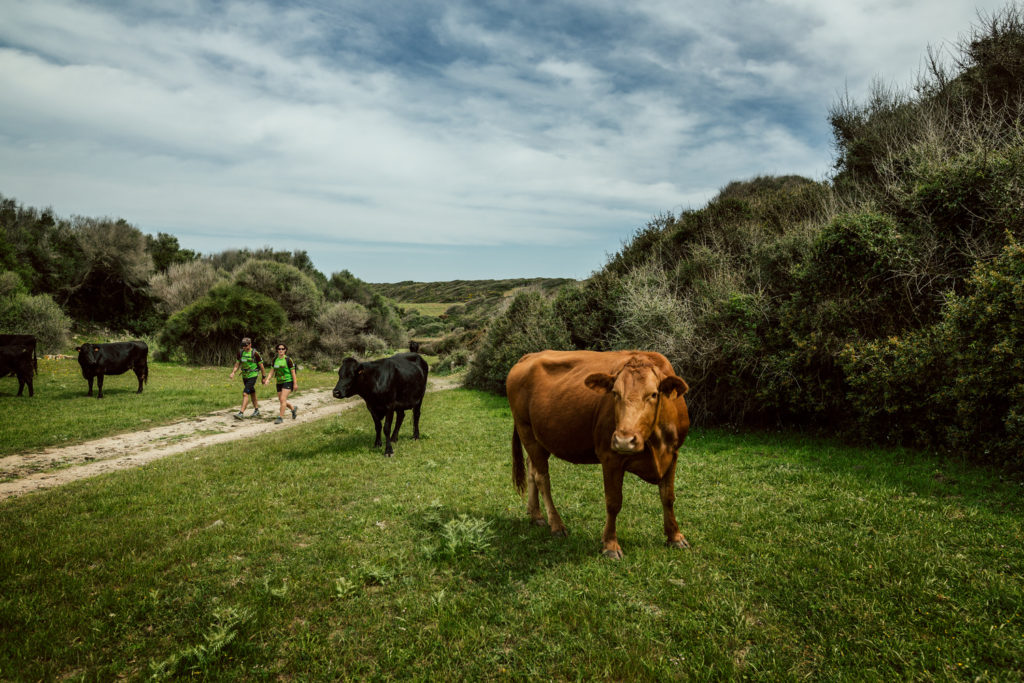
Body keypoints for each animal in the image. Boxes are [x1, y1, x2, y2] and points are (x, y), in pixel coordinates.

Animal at [507, 350, 692, 557]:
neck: (655, 443)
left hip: (539, 438)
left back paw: (536, 514)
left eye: (653, 394)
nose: (624, 440)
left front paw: (675, 536)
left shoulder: (673, 454)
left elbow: (668, 497)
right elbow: (613, 502)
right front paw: (610, 545)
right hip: (526, 430)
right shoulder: (610, 457)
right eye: (615, 393)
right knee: (541, 478)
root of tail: (529, 356)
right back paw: (556, 524)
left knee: (531, 469)